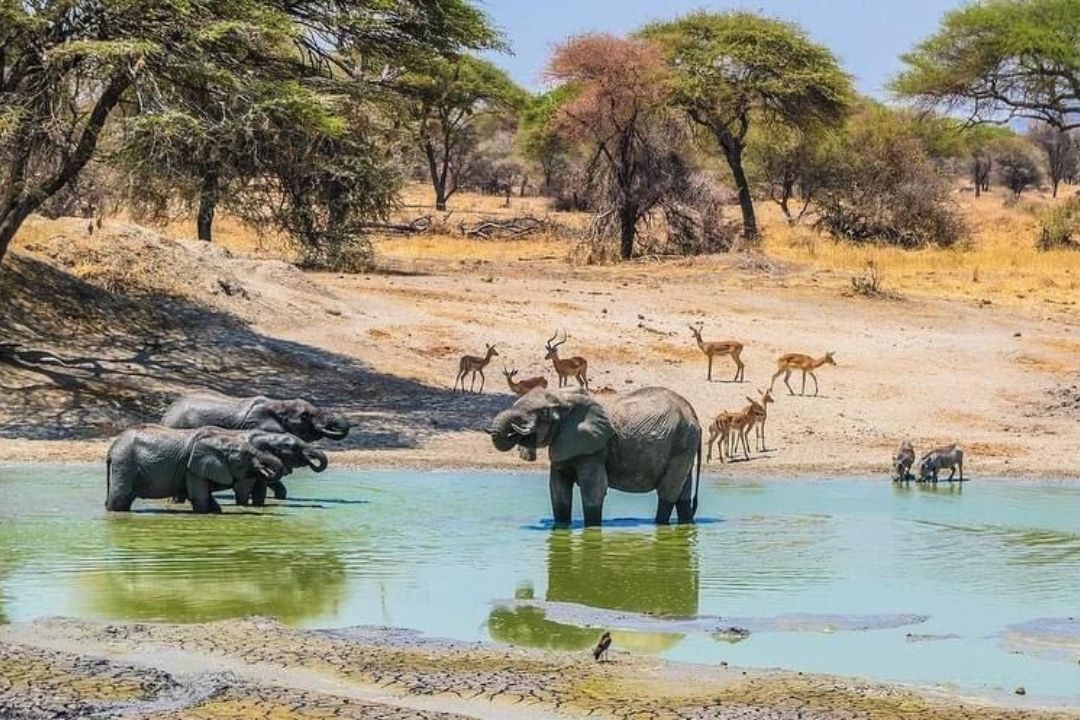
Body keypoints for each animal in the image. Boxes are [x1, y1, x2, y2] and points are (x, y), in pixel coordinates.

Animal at [106, 425, 285, 513]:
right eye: (246, 455)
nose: (264, 469)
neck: (219, 440)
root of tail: (112, 448)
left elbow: (209, 500)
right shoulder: (192, 468)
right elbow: (201, 499)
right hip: (125, 463)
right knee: (120, 498)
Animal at [489, 386, 702, 527]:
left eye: (544, 412)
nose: (515, 430)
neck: (565, 398)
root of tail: (694, 414)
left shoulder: (594, 449)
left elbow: (594, 489)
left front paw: (591, 528)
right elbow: (558, 490)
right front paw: (561, 528)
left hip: (682, 440)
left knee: (668, 490)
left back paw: (659, 525)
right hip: (684, 443)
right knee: (682, 492)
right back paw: (685, 524)